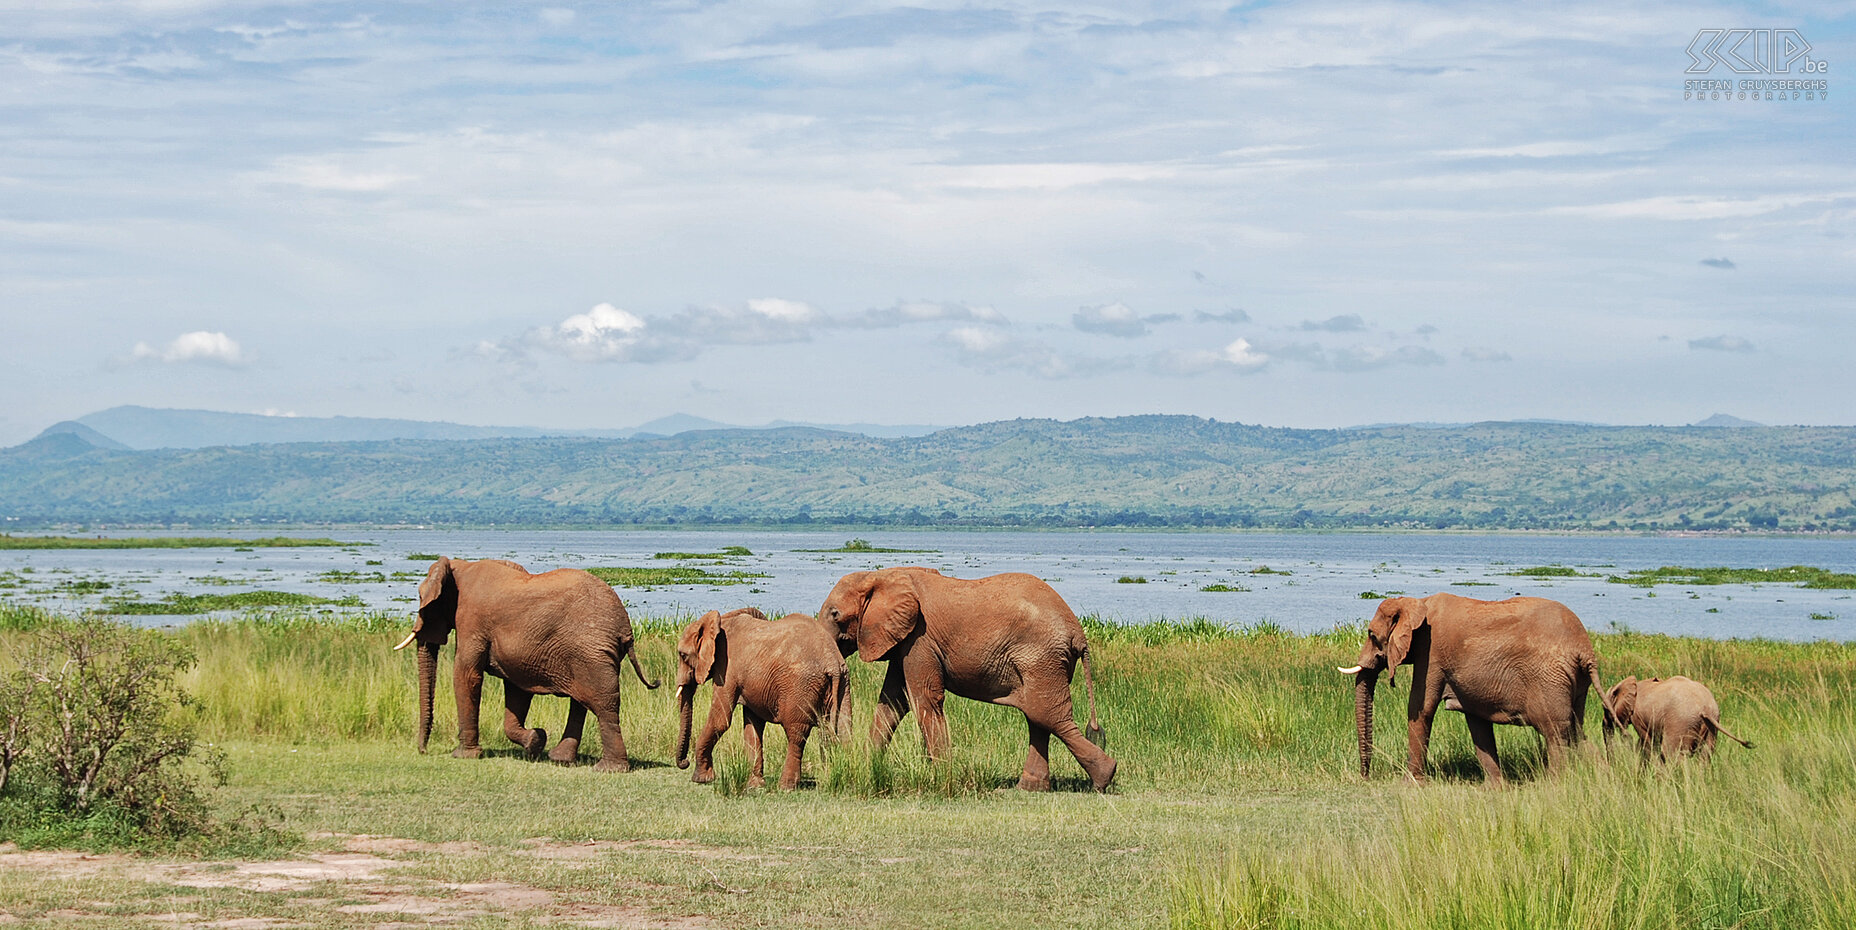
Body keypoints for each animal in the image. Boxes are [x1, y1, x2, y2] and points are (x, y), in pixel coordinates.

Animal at [391, 556, 660, 768]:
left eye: (422, 599)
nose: (423, 751)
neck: (462, 565)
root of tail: (625, 627)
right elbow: (516, 690)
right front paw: (535, 741)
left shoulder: (471, 619)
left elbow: (466, 675)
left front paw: (463, 756)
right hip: (587, 654)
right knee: (581, 703)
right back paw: (560, 758)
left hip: (591, 651)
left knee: (604, 705)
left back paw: (608, 769)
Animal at [675, 608, 850, 790]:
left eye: (683, 655)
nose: (685, 762)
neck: (720, 622)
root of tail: (832, 662)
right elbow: (753, 725)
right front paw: (755, 785)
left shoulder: (727, 669)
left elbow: (720, 720)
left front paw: (701, 779)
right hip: (843, 683)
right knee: (842, 730)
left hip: (801, 686)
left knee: (796, 734)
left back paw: (786, 786)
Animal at [816, 564, 1113, 790]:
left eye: (835, 614)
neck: (881, 575)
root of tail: (1078, 633)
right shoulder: (906, 641)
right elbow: (893, 702)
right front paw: (867, 767)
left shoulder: (920, 639)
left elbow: (924, 700)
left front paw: (941, 779)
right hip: (1044, 662)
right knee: (1038, 718)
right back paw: (1030, 788)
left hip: (1041, 658)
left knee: (1048, 716)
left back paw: (1104, 778)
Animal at [1336, 594, 1611, 783]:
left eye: (1372, 635)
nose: (1365, 776)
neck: (1417, 603)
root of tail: (1585, 650)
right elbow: (1476, 721)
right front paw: (1496, 787)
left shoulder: (1431, 653)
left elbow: (1420, 709)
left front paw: (1410, 785)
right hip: (1576, 683)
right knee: (1576, 731)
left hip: (1548, 681)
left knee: (1555, 733)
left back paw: (1553, 785)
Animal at [1596, 675, 1752, 761]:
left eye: (1604, 707)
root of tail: (1705, 708)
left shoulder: (1637, 716)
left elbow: (1648, 744)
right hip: (1713, 724)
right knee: (1705, 756)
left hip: (1681, 722)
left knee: (1673, 754)